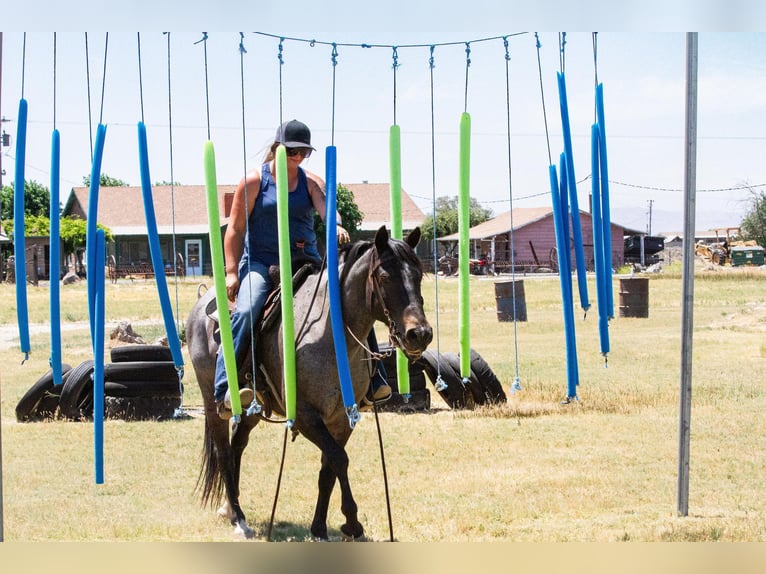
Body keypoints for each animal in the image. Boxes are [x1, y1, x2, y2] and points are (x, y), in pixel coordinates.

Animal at [186, 225, 433, 540]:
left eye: (418, 275)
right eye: (385, 277)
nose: (420, 334)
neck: (328, 334)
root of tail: (201, 304)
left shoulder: (342, 418)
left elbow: (329, 467)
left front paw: (320, 527)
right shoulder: (305, 416)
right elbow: (339, 458)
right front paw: (352, 522)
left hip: (253, 407)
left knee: (237, 444)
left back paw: (231, 509)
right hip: (212, 402)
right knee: (222, 449)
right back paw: (239, 519)